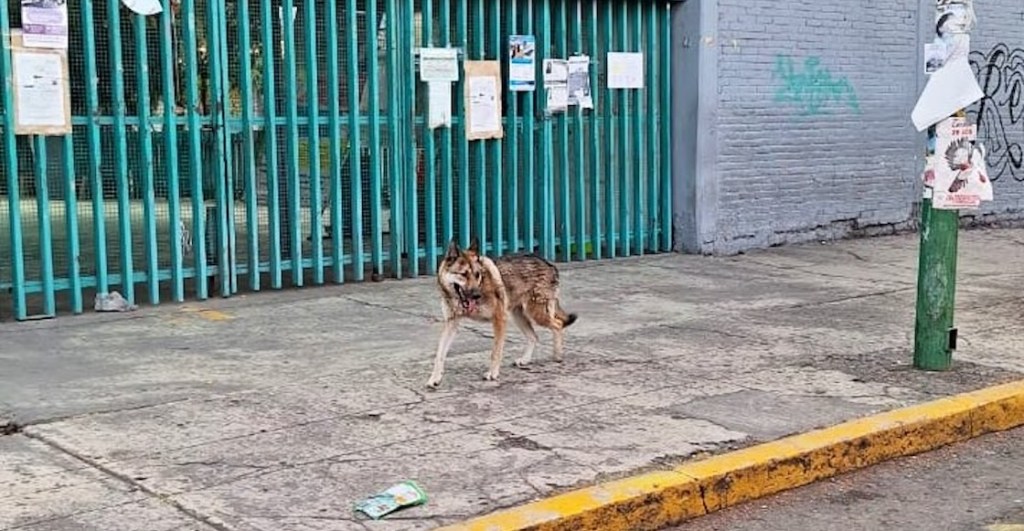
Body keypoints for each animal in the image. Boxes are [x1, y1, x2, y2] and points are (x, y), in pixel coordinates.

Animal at [428, 239, 581, 388]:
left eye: (477, 275)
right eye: (464, 274)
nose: (477, 295)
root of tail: (549, 263)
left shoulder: (499, 319)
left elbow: (495, 352)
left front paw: (493, 373)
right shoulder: (451, 324)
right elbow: (439, 354)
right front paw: (435, 378)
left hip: (536, 314)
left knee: (557, 324)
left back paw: (558, 355)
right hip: (518, 316)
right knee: (534, 337)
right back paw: (525, 360)